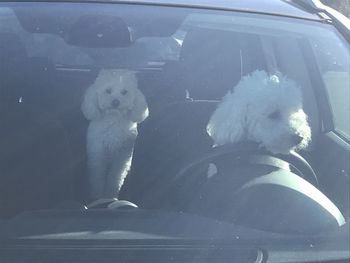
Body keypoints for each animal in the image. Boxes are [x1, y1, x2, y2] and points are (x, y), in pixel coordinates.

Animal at [82, 69, 149, 201]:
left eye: (124, 92)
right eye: (108, 90)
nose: (115, 102)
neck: (113, 119)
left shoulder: (122, 158)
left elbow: (115, 177)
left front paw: (110, 195)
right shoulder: (97, 155)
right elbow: (97, 177)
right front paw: (97, 196)